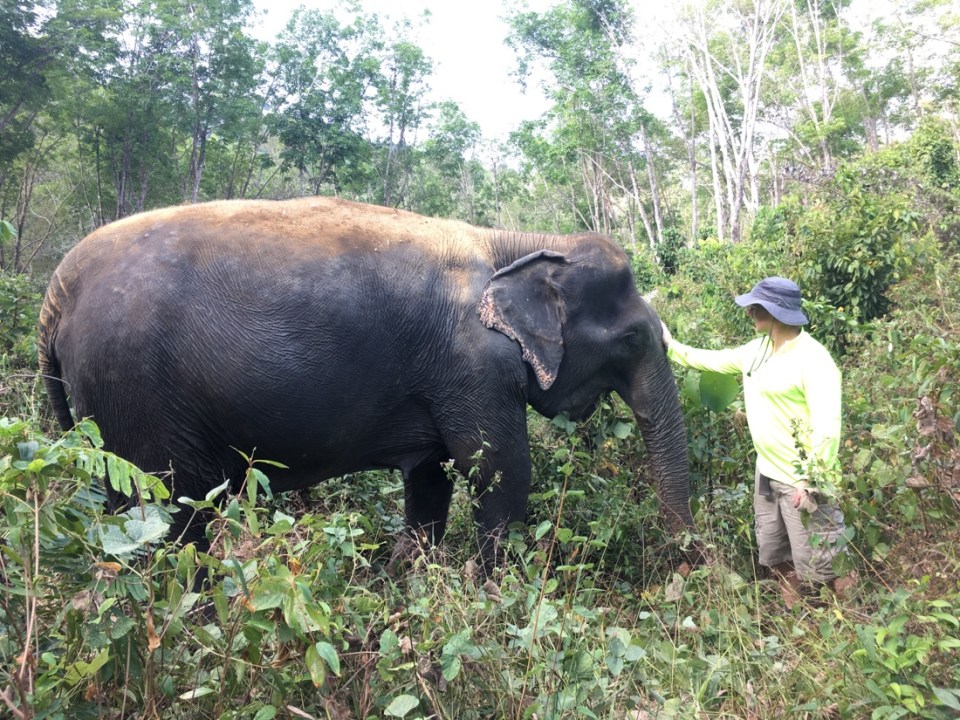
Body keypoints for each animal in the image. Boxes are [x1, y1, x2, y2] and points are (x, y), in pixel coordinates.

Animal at [38, 196, 695, 571]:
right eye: (631, 340)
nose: (686, 566)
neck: (514, 243)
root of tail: (56, 292)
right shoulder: (472, 367)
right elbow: (497, 471)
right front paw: (495, 595)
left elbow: (430, 480)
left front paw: (412, 580)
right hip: (135, 394)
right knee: (169, 516)